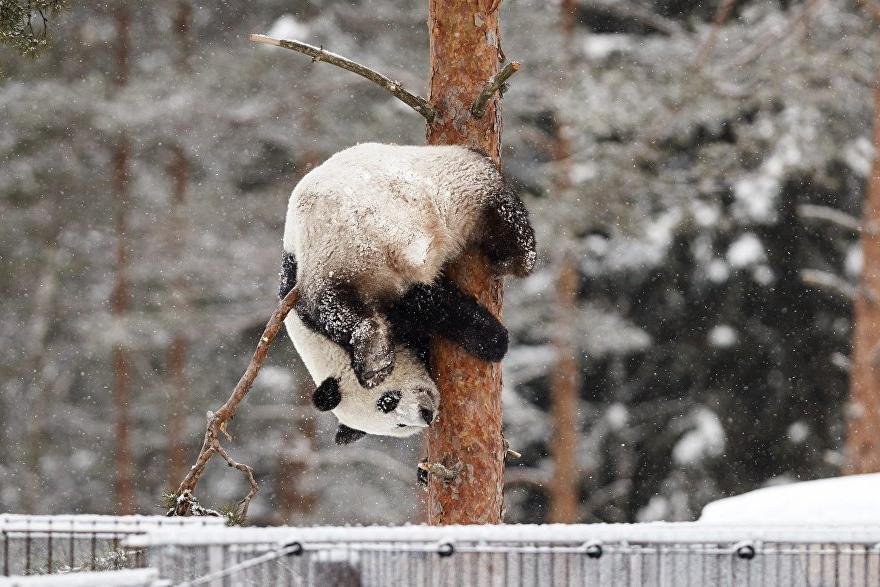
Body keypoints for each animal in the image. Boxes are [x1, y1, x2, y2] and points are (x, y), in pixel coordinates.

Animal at [278, 144, 536, 446]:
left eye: (387, 401)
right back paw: (516, 259)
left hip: (330, 253)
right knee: (498, 214)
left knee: (343, 306)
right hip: (446, 194)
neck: (323, 350)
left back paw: (374, 360)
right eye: (398, 424)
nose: (426, 415)